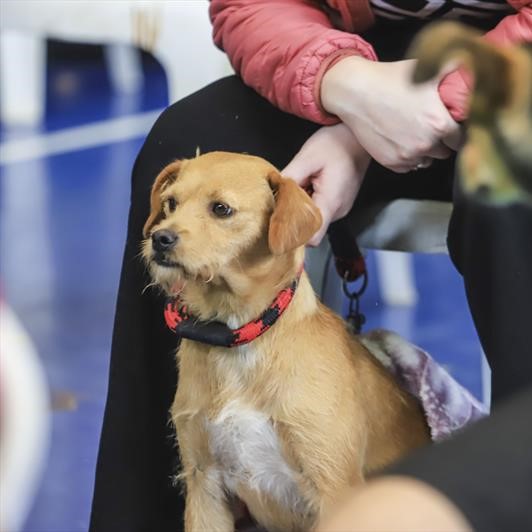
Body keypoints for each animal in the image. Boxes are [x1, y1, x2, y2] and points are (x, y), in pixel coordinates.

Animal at [143, 152, 430, 528]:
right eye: (171, 203)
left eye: (221, 209)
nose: (160, 239)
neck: (237, 338)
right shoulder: (204, 483)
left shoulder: (333, 485)